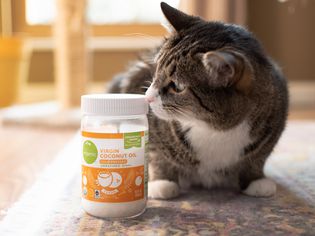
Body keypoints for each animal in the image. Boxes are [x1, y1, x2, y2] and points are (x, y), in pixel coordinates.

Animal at [108, 2, 288, 199]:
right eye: (156, 70)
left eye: (177, 87)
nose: (147, 97)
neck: (213, 129)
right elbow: (156, 153)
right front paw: (162, 182)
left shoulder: (274, 122)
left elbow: (258, 158)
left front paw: (256, 181)